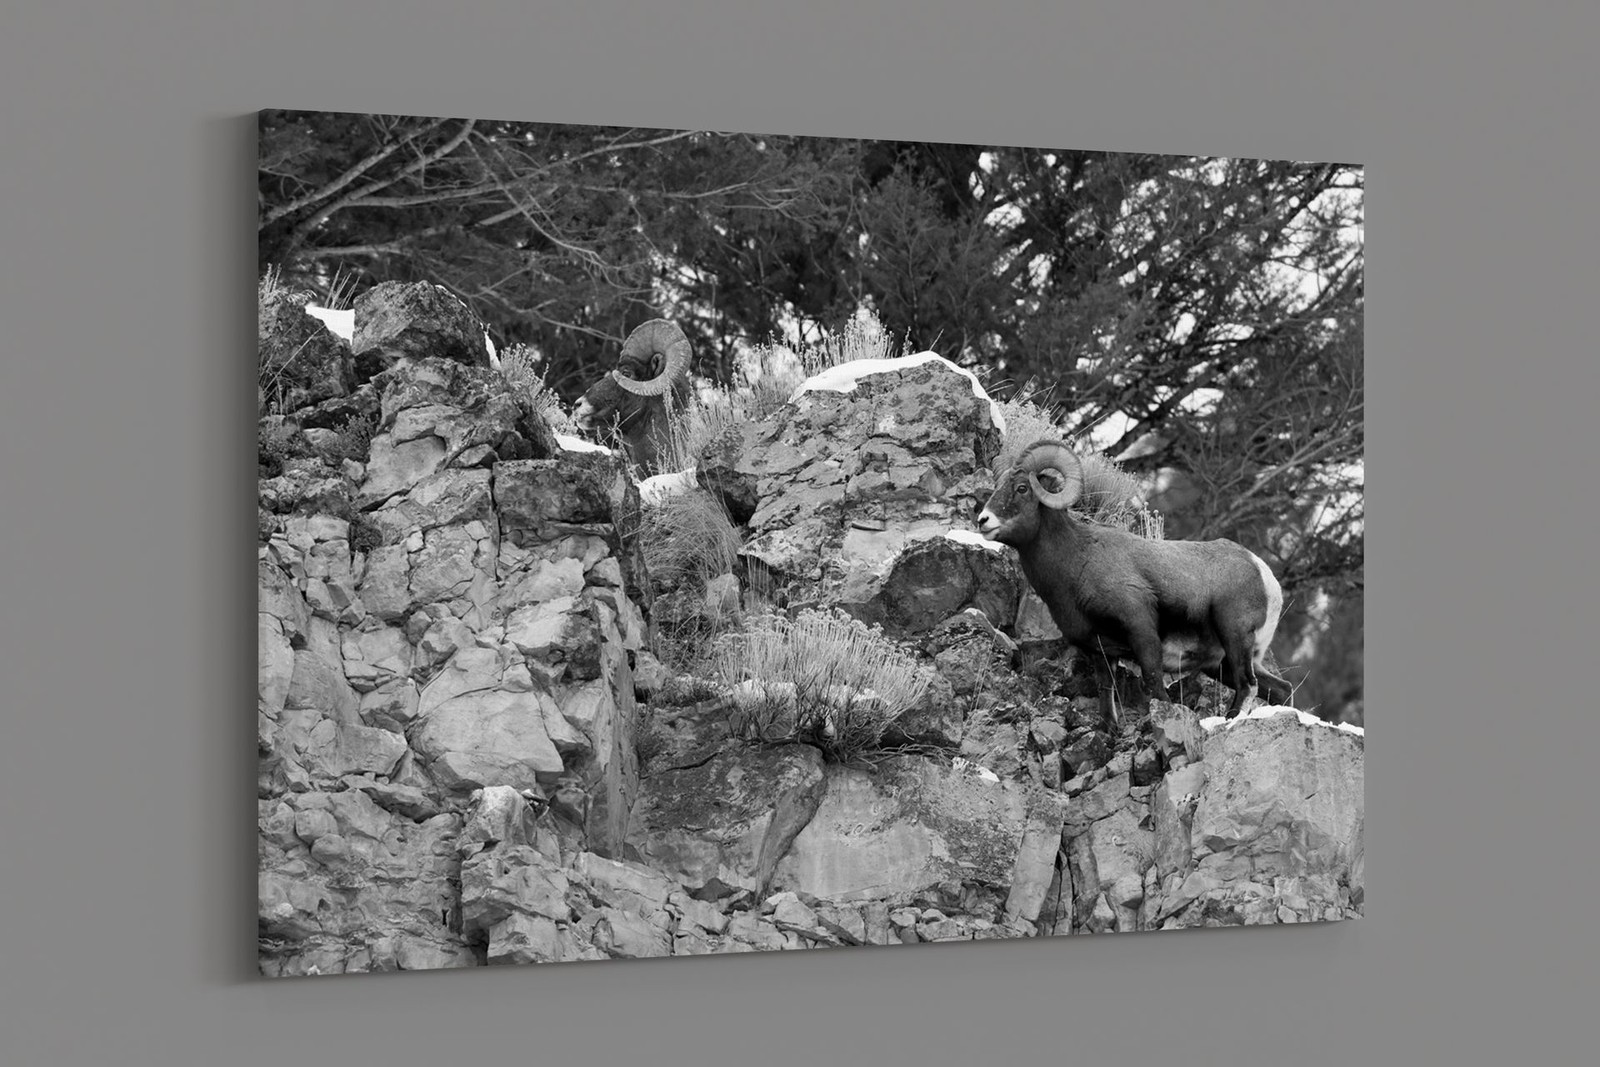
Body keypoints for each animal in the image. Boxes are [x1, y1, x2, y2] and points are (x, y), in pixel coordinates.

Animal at [975, 440, 1292, 722]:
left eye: (1022, 488)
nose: (983, 520)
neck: (1077, 561)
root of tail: (1264, 575)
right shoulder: (1101, 652)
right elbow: (1107, 700)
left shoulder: (1141, 631)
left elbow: (1154, 688)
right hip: (1221, 662)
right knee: (1279, 689)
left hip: (1235, 637)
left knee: (1247, 685)